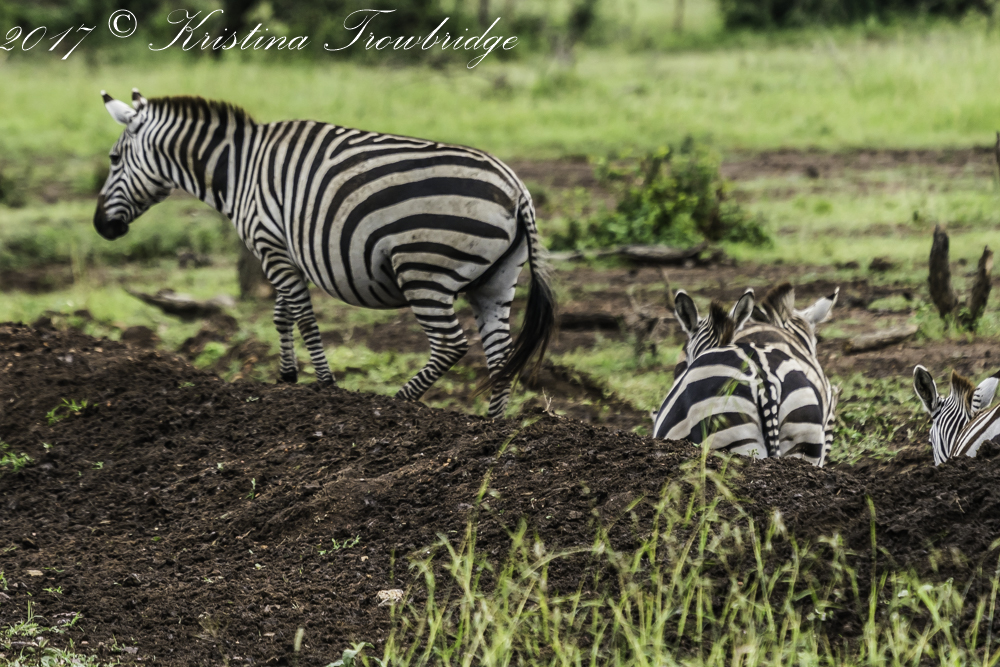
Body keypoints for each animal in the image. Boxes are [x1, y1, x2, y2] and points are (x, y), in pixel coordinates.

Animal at [95, 89, 555, 419]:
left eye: (114, 159)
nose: (101, 227)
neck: (239, 169)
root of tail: (517, 188)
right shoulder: (285, 251)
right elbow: (282, 313)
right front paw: (286, 377)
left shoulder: (269, 243)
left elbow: (303, 316)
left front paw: (325, 387)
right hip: (495, 281)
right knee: (500, 355)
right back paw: (491, 427)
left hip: (424, 268)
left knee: (450, 344)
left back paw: (395, 403)